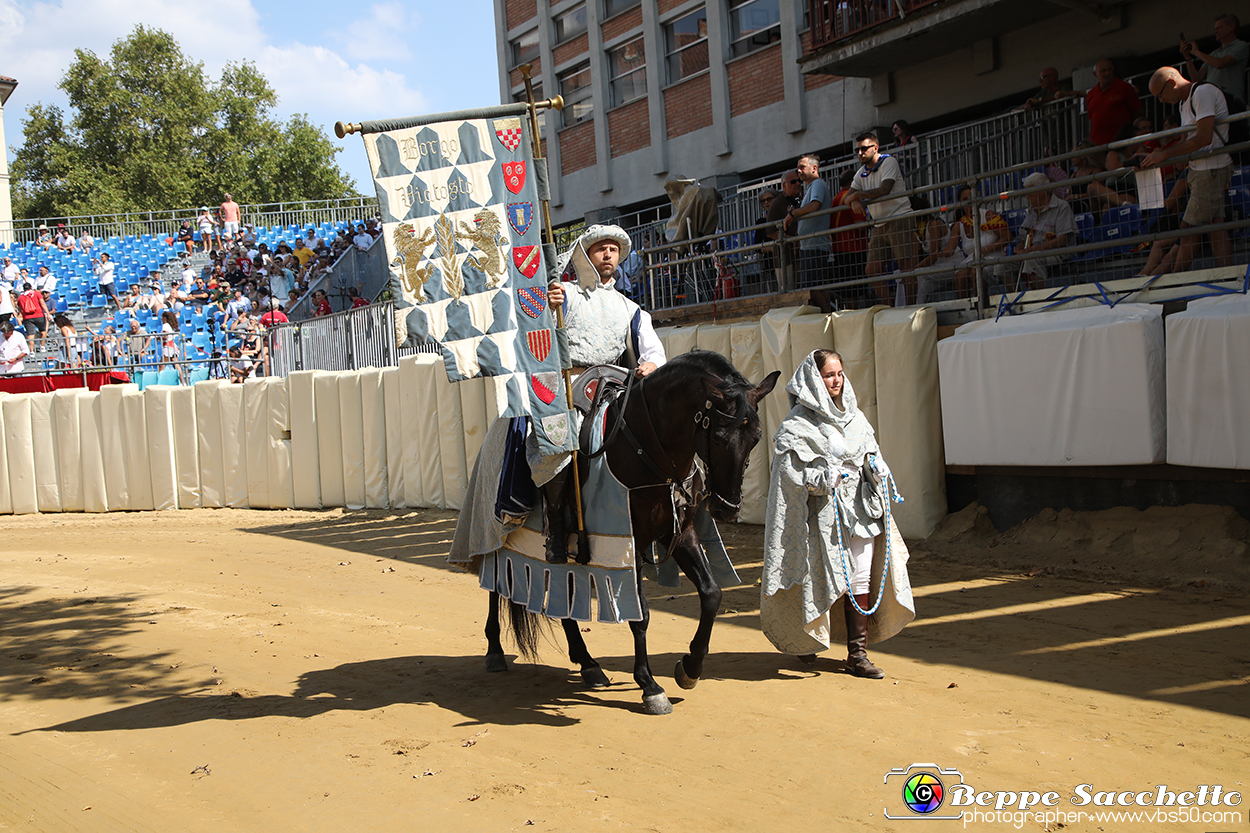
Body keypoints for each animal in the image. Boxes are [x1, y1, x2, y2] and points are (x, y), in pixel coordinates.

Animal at [482, 347, 775, 710]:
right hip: (497, 535)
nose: (726, 508)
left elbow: (711, 594)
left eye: (756, 437)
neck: (650, 450)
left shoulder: (679, 533)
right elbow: (641, 615)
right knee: (494, 586)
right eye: (719, 436)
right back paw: (494, 651)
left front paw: (690, 667)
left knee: (564, 600)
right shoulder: (628, 544)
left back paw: (588, 664)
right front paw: (650, 686)